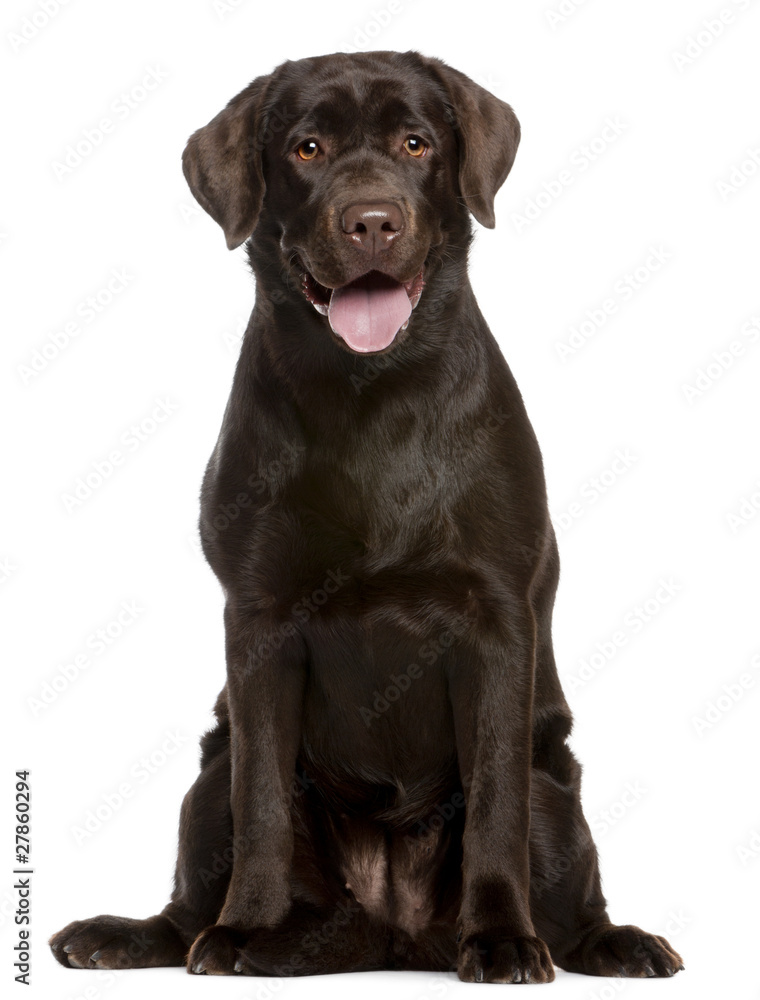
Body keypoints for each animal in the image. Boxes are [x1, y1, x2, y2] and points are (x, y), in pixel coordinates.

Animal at [50, 50, 684, 980]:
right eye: (307, 148)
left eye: (416, 143)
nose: (372, 222)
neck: (370, 393)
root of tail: (396, 931)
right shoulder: (261, 620)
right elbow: (263, 801)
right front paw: (246, 927)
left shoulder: (496, 621)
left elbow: (493, 803)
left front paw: (502, 937)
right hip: (205, 777)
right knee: (194, 884)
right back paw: (149, 935)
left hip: (556, 786)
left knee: (569, 894)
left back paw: (617, 941)